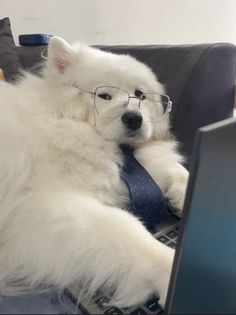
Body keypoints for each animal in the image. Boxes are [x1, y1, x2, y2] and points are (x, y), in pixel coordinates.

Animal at [0, 37, 189, 308]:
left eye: (140, 94)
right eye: (104, 95)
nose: (134, 118)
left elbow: (178, 170)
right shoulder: (44, 211)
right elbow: (127, 228)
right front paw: (170, 268)